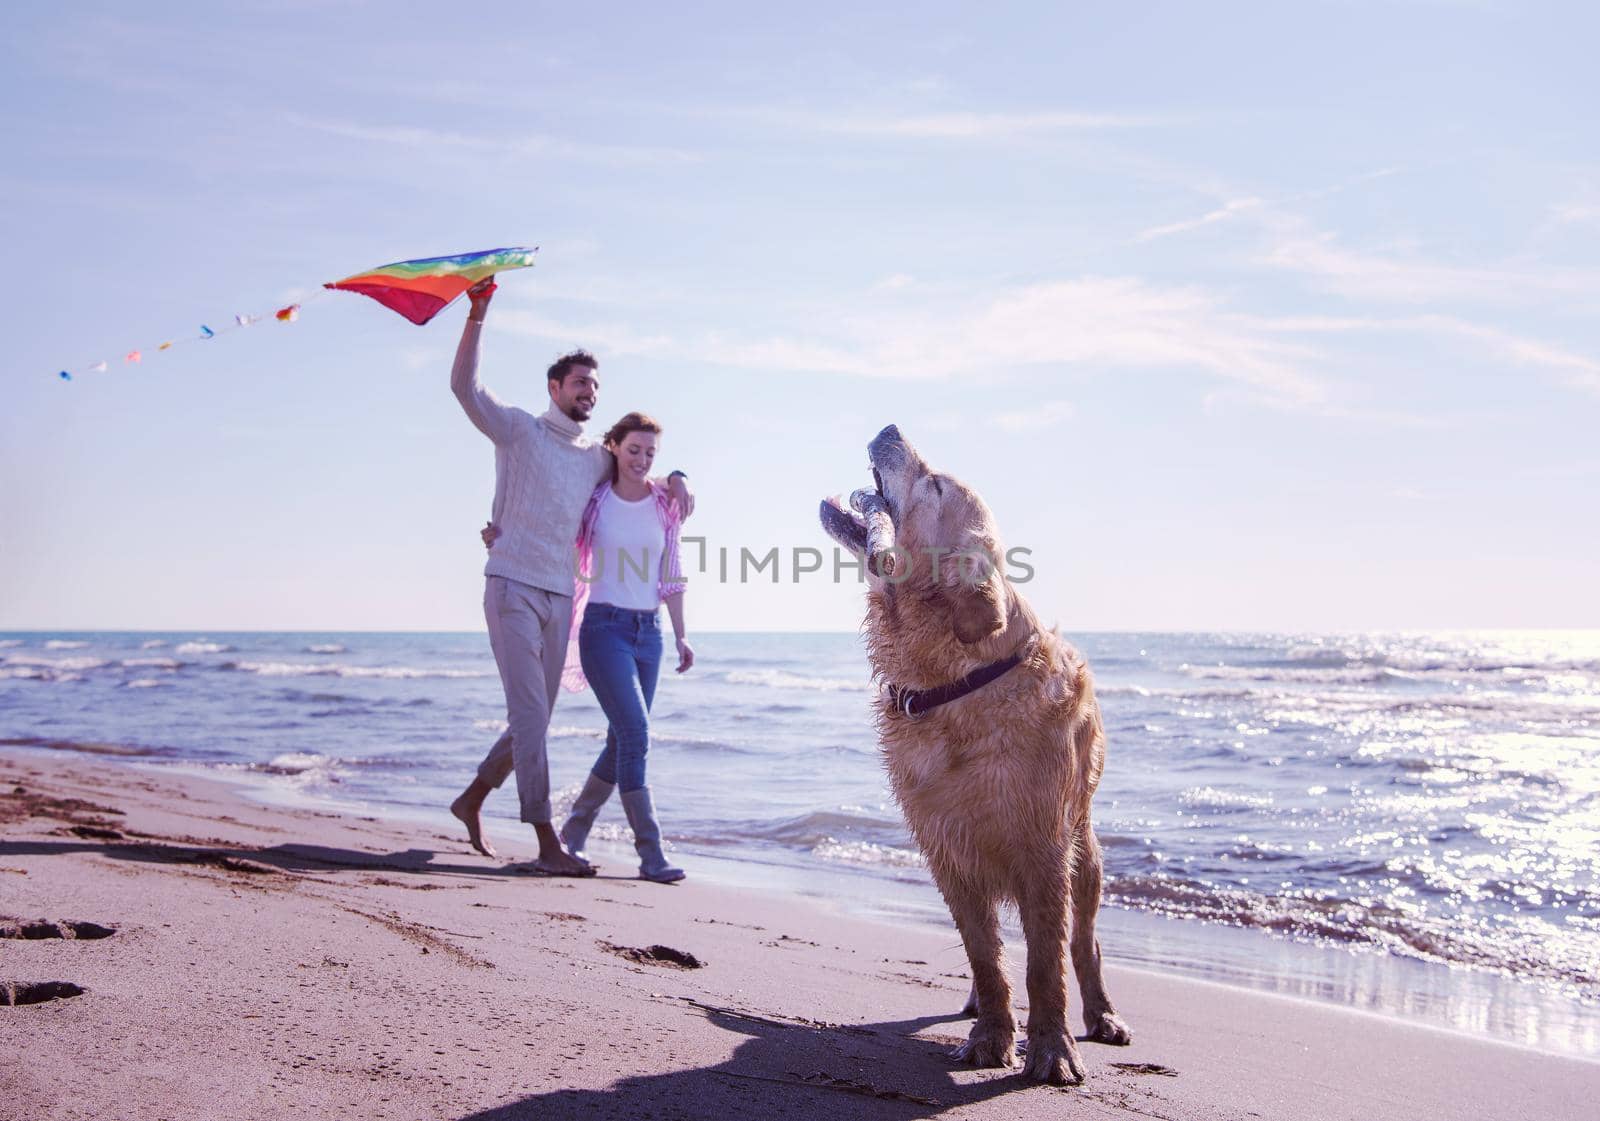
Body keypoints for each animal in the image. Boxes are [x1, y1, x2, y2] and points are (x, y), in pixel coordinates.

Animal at [825, 422, 1126, 1087]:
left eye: (935, 484)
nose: (889, 427)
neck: (956, 681)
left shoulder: (1043, 848)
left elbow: (1045, 964)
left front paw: (1051, 1048)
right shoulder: (947, 847)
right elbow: (986, 956)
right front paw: (992, 1033)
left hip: (1086, 852)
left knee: (1084, 944)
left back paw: (1103, 1016)